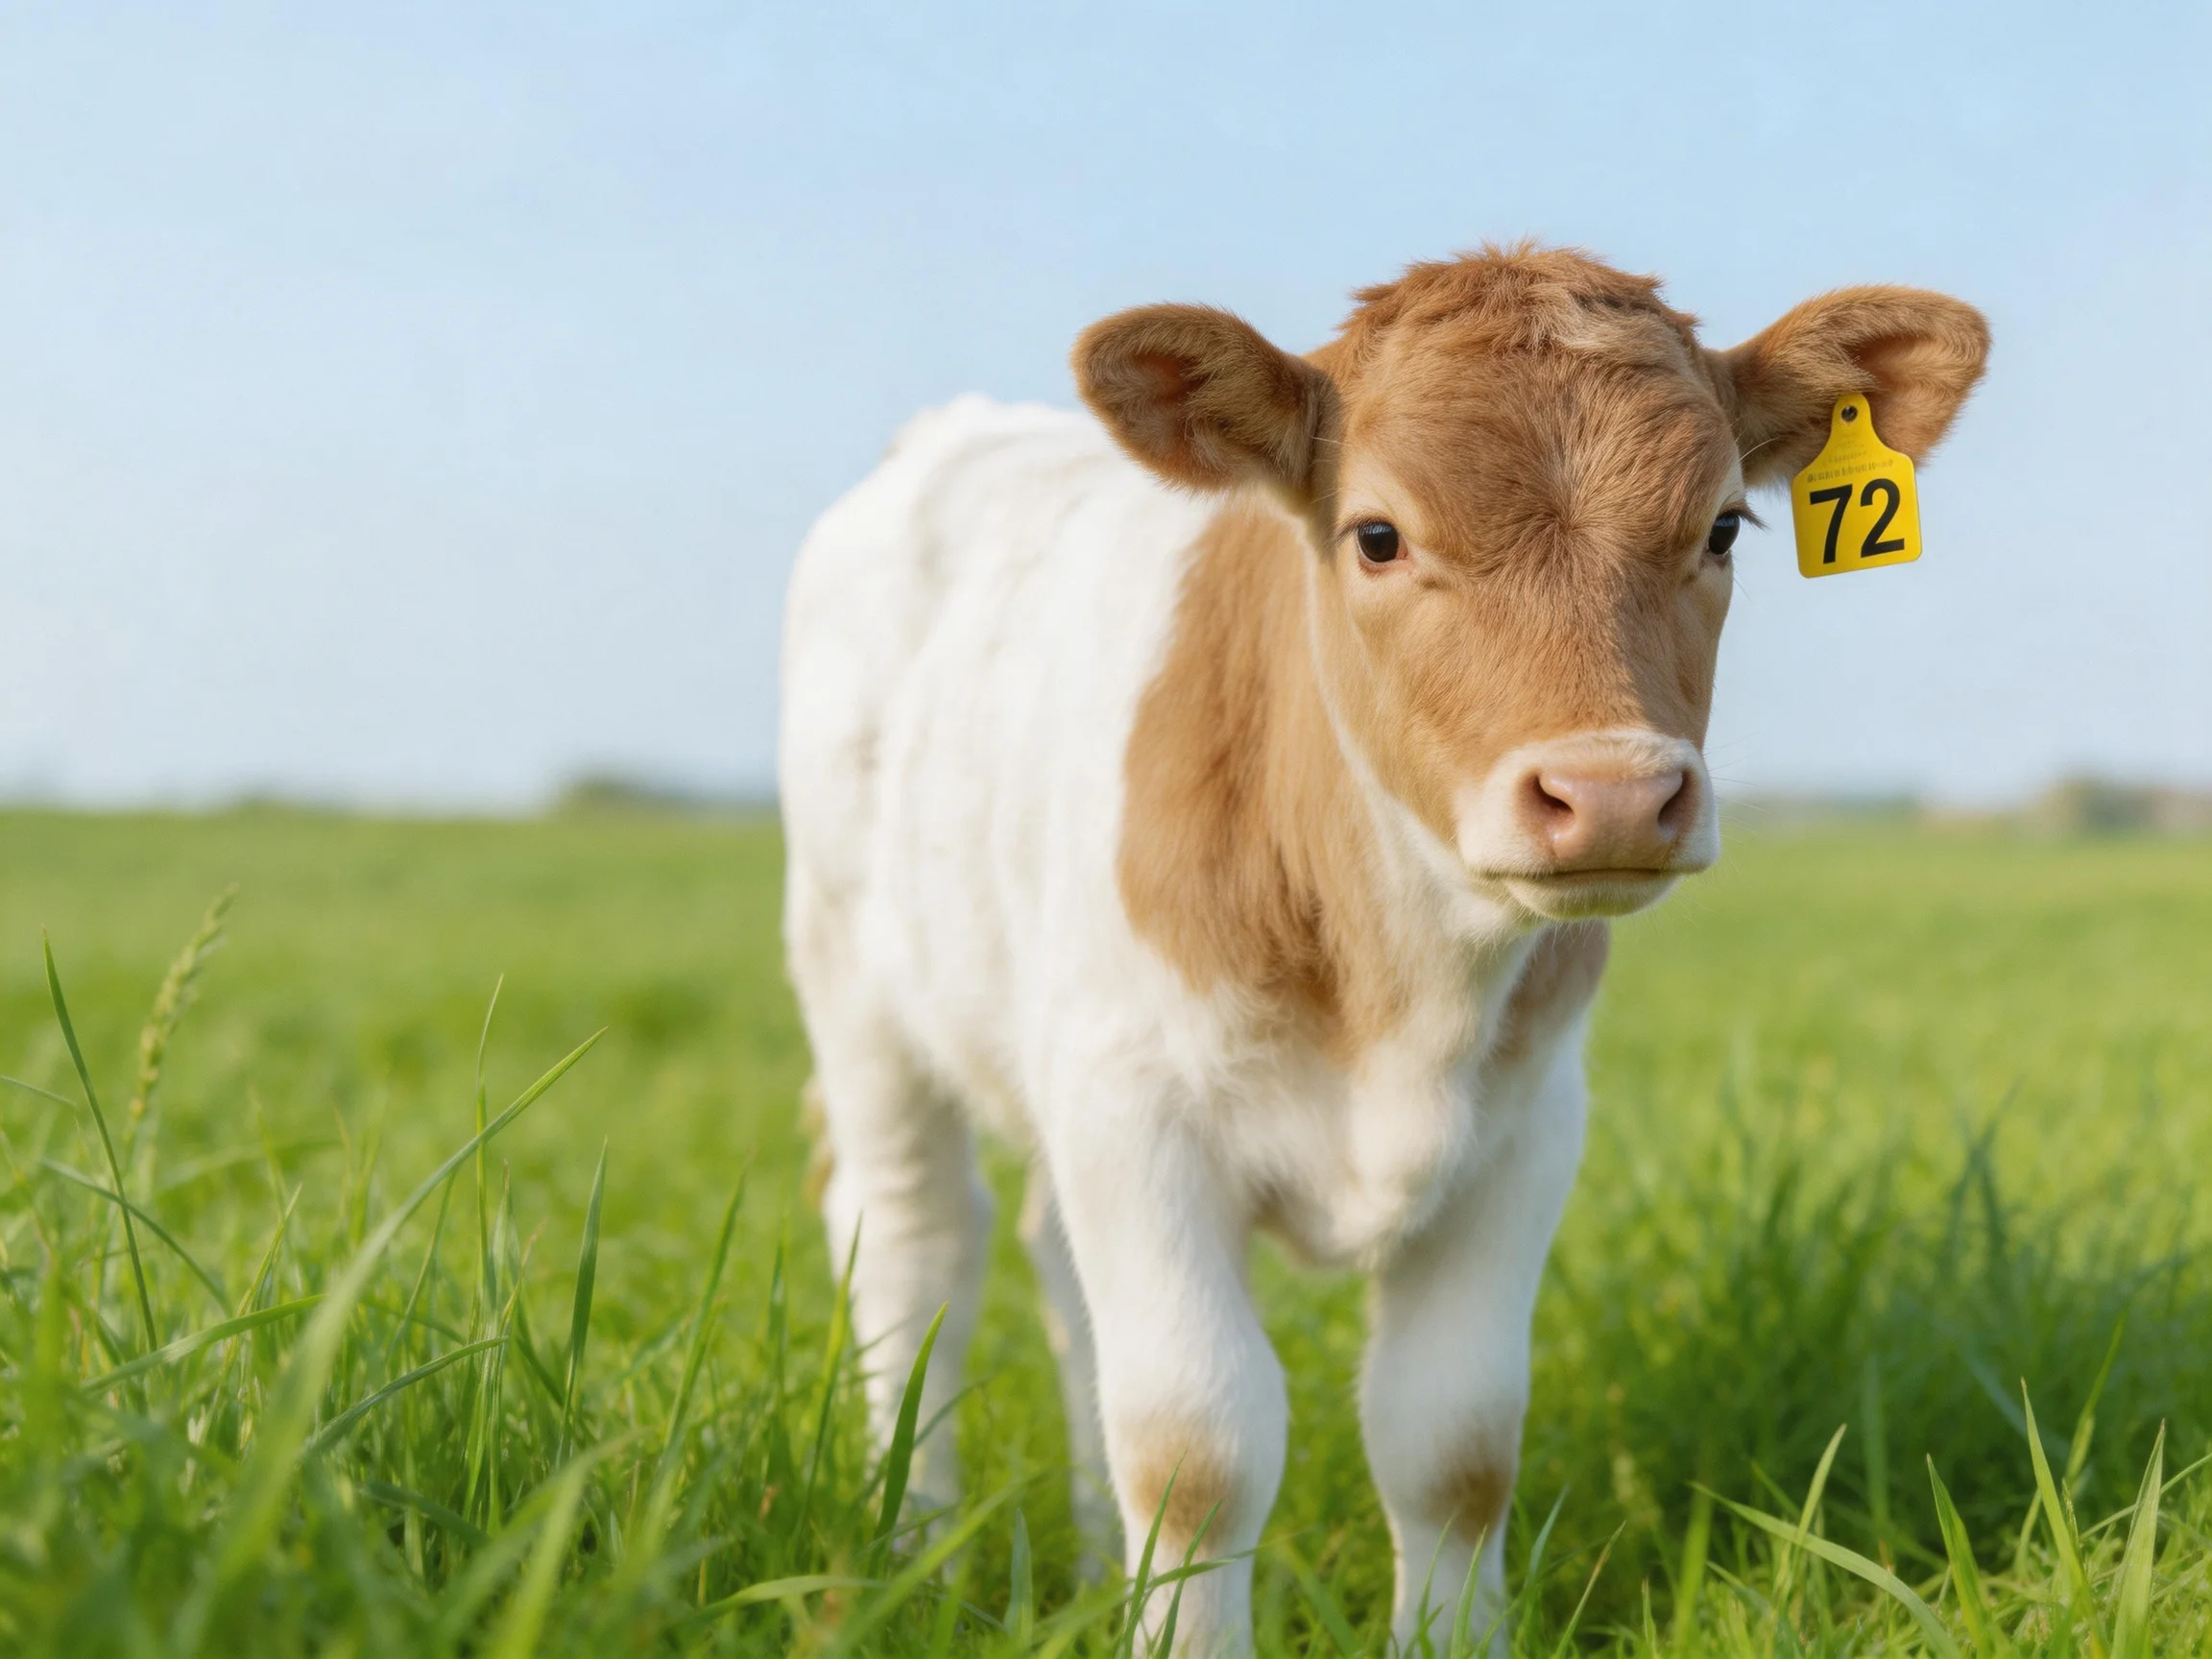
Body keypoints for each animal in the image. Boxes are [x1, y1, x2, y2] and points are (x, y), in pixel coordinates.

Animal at [778, 244, 1987, 1653]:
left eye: (1726, 528)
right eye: (1377, 534)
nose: (1613, 794)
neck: (1400, 988)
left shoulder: (1524, 1133)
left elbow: (1453, 1442)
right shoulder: (1136, 1112)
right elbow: (1195, 1445)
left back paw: (1081, 1558)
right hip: (855, 990)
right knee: (915, 1248)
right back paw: (905, 1549)